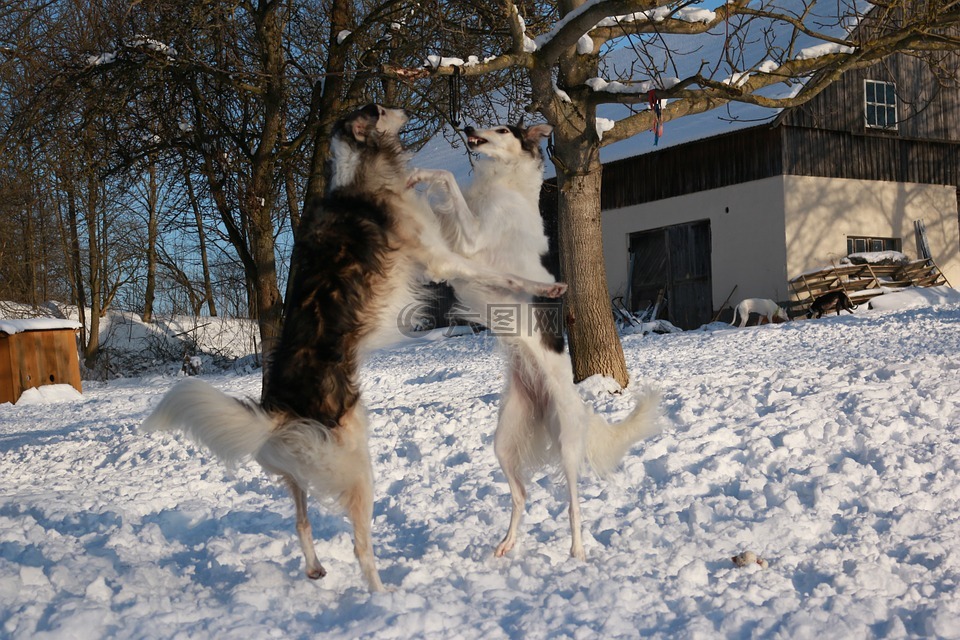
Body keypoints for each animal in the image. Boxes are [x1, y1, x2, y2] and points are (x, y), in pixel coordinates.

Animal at [142, 104, 564, 592]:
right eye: (379, 109)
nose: (406, 108)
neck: (360, 175)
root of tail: (278, 412)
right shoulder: (441, 258)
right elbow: (503, 274)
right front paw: (548, 287)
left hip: (300, 470)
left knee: (302, 521)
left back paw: (315, 568)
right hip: (357, 470)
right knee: (362, 549)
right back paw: (381, 596)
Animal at [412, 122, 660, 564]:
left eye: (502, 128)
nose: (469, 127)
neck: (505, 182)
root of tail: (576, 405)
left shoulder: (472, 239)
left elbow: (446, 181)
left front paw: (422, 175)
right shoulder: (458, 237)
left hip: (566, 447)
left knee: (574, 505)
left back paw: (577, 552)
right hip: (504, 442)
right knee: (521, 495)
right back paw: (508, 543)